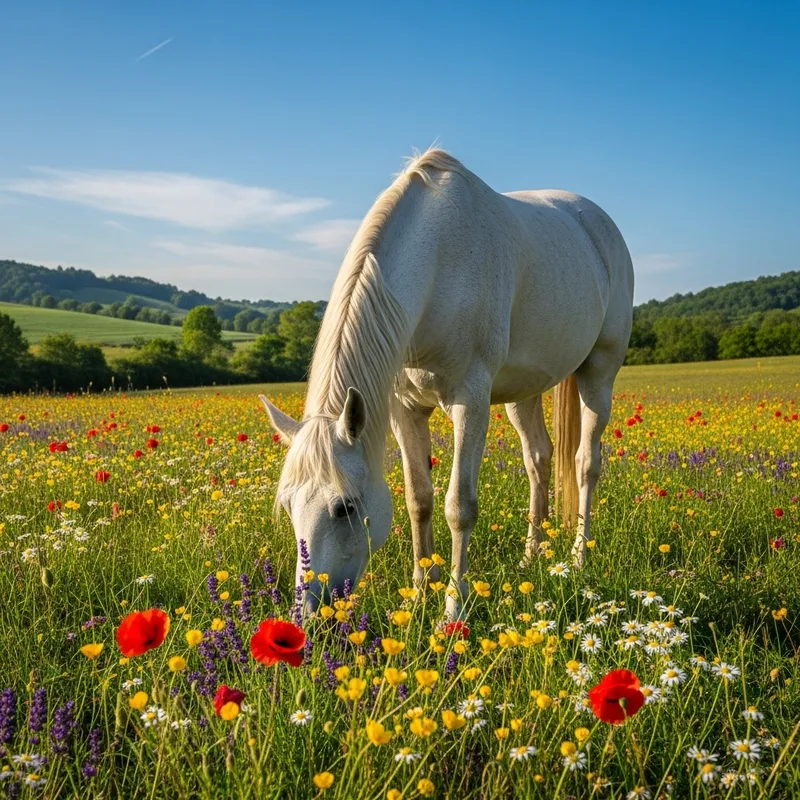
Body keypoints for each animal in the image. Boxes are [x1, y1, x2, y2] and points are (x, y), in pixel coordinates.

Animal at [261, 148, 634, 619]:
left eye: (345, 507)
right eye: (289, 506)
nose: (307, 615)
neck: (437, 263)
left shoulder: (469, 401)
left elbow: (460, 506)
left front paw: (453, 609)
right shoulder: (404, 409)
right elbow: (418, 498)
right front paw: (422, 592)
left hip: (599, 373)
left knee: (586, 463)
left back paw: (579, 557)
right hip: (523, 390)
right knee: (538, 458)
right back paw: (532, 555)